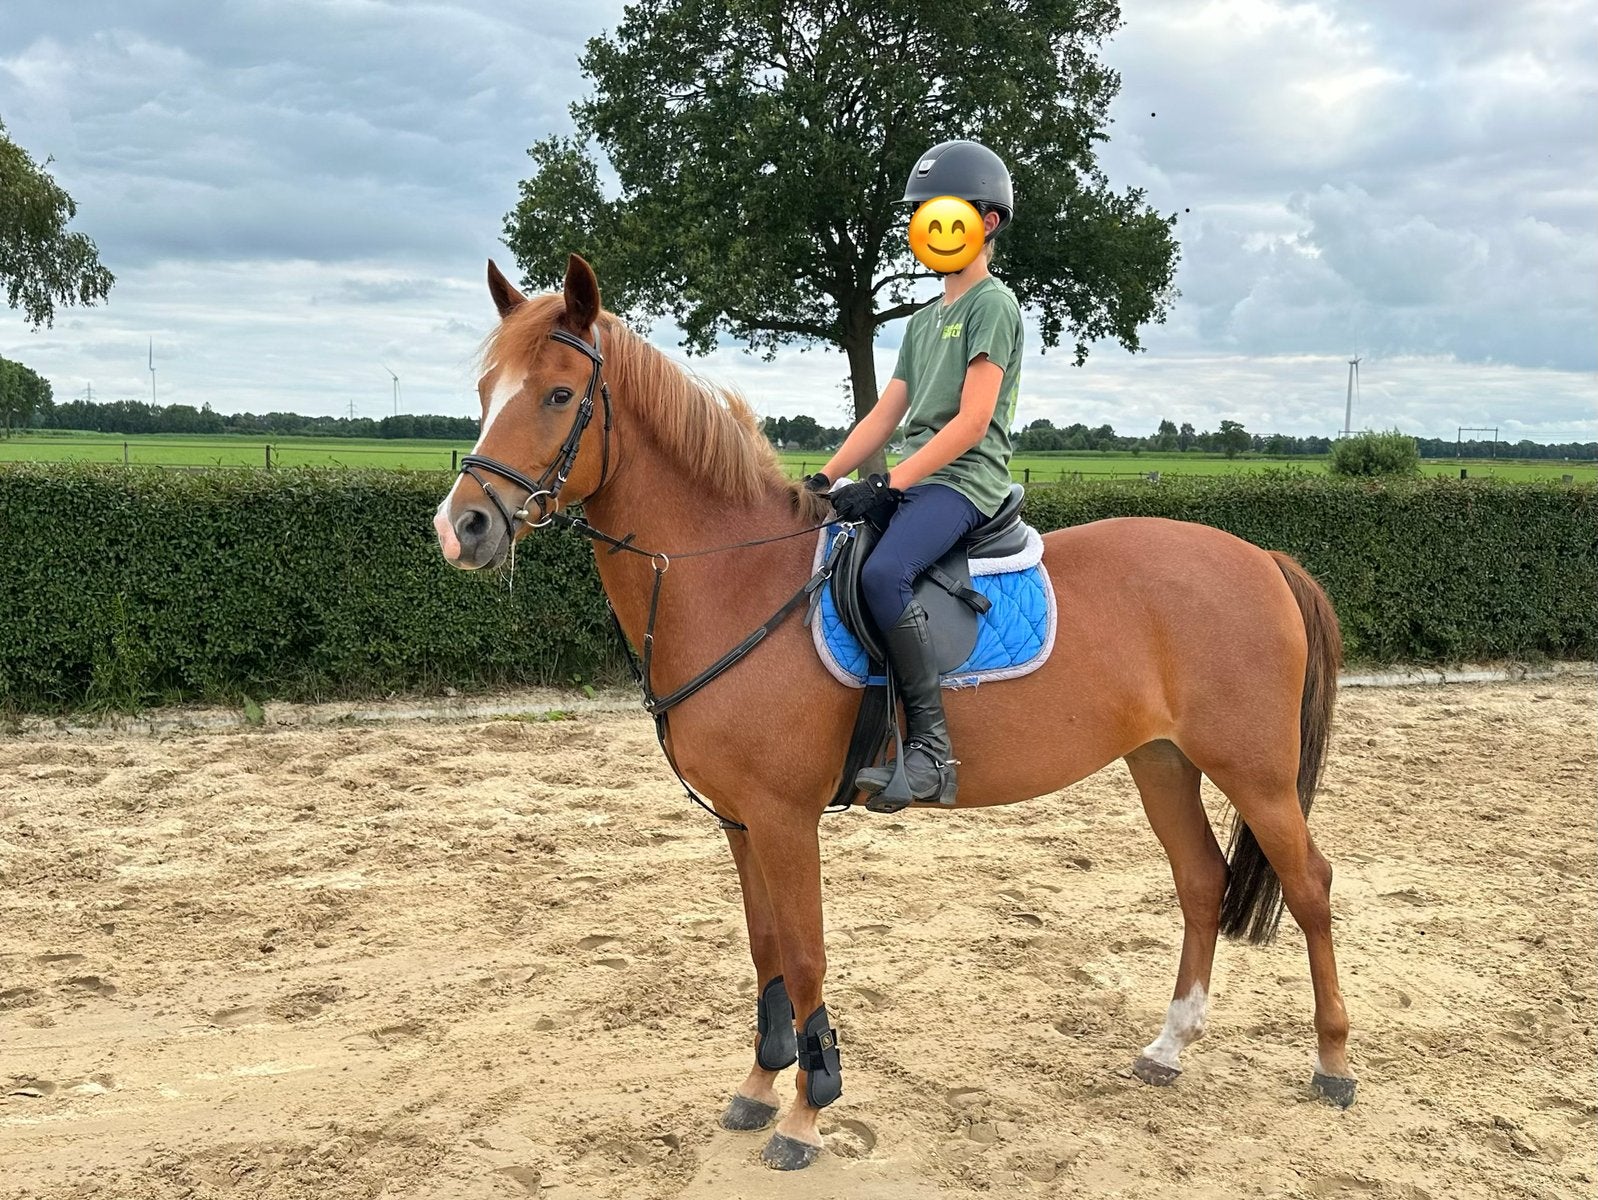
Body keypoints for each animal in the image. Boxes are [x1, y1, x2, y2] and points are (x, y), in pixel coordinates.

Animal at [433, 253, 1355, 1171]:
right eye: (484, 390)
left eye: (558, 394)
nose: (461, 527)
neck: (733, 577)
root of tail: (1263, 559)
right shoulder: (740, 820)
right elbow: (765, 950)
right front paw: (760, 1084)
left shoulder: (784, 817)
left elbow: (805, 954)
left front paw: (808, 1111)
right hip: (1162, 760)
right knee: (1200, 881)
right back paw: (1170, 1046)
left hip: (1255, 773)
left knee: (1309, 885)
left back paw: (1333, 1063)